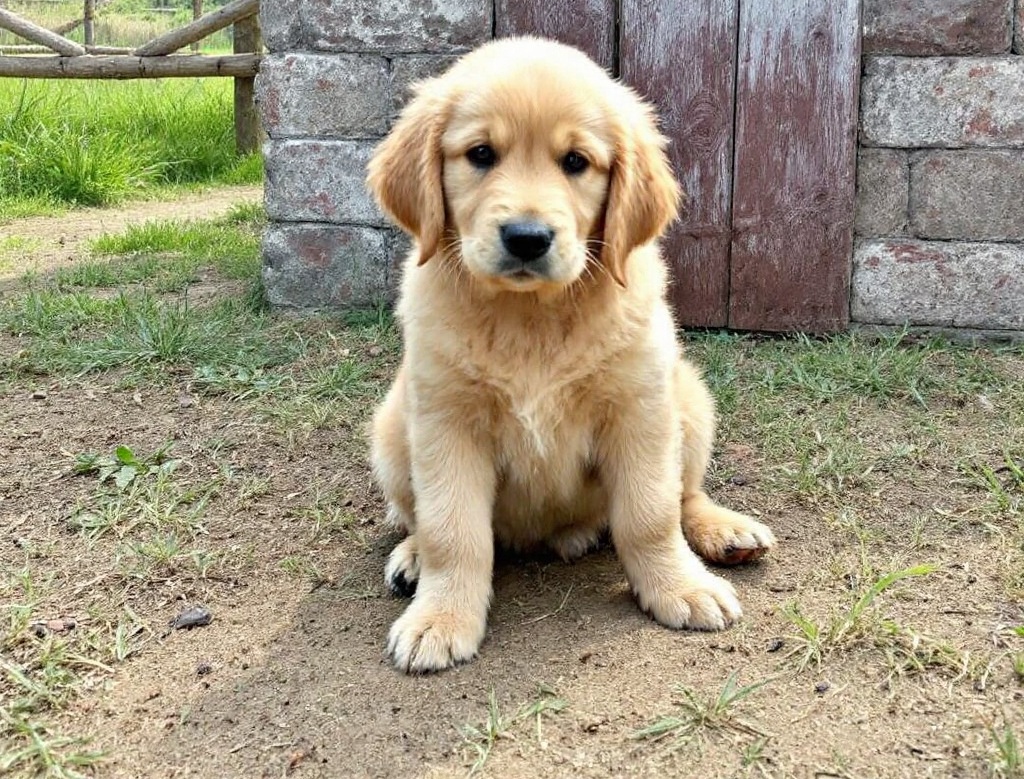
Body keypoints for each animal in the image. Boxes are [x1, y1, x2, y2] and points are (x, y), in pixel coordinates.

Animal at [364, 36, 770, 671]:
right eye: (481, 154)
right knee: (414, 518)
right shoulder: (445, 422)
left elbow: (650, 516)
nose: (527, 237)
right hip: (389, 430)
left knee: (686, 494)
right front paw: (440, 618)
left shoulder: (639, 410)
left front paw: (679, 587)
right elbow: (452, 532)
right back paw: (410, 558)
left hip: (689, 398)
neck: (533, 317)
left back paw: (723, 533)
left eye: (576, 162)